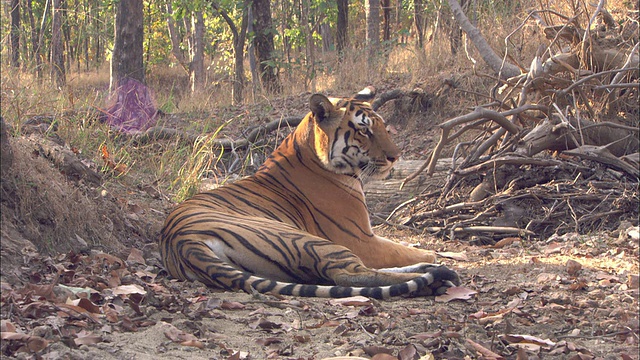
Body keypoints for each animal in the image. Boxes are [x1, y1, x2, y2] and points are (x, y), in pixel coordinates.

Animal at [160, 88, 460, 300]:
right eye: (364, 130)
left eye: (383, 127)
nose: (395, 157)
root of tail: (182, 242)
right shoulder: (361, 239)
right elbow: (406, 250)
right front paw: (432, 256)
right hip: (305, 239)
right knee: (349, 274)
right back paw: (438, 278)